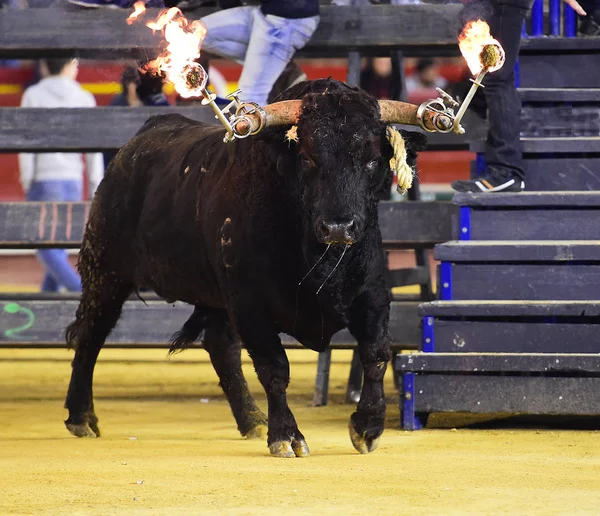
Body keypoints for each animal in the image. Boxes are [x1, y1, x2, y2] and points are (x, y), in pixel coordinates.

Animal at [64, 78, 426, 458]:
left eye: (373, 161)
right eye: (308, 157)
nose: (339, 227)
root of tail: (136, 143)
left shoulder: (372, 295)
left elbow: (376, 353)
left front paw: (368, 427)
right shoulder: (250, 304)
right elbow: (274, 367)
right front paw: (286, 436)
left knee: (220, 347)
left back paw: (252, 420)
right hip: (105, 270)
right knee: (90, 335)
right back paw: (81, 417)